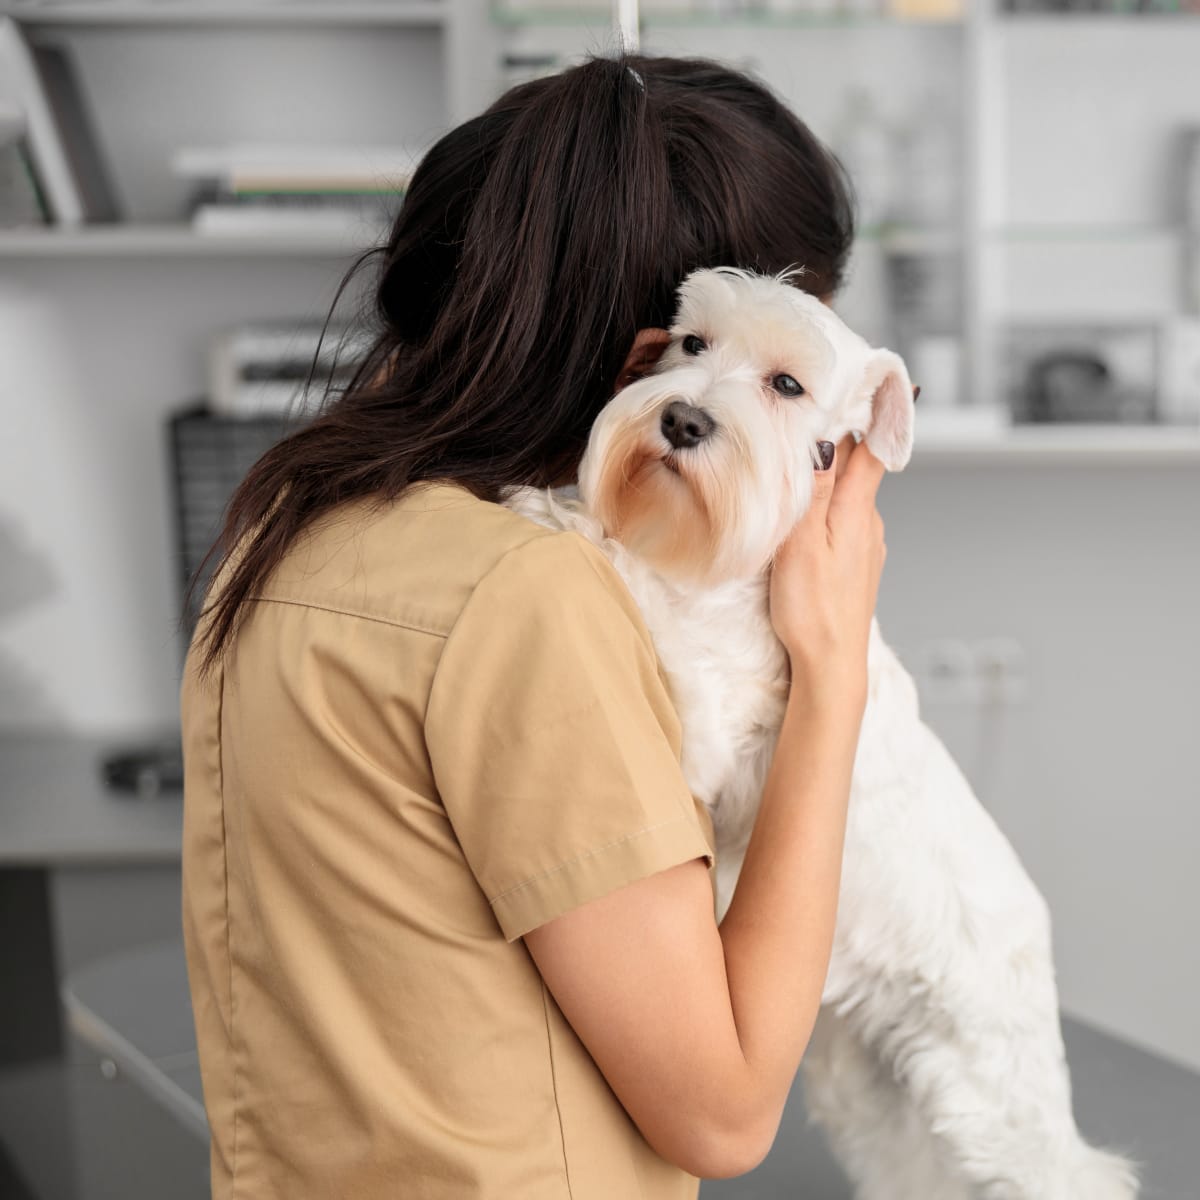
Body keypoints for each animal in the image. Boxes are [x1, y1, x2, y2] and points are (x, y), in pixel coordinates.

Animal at [504, 267, 1132, 1195]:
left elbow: (636, 584)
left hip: (993, 1091)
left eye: (787, 385)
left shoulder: (706, 720)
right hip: (872, 1088)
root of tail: (1034, 927)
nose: (682, 420)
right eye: (692, 343)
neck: (726, 573)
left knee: (1064, 1169)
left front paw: (558, 515)